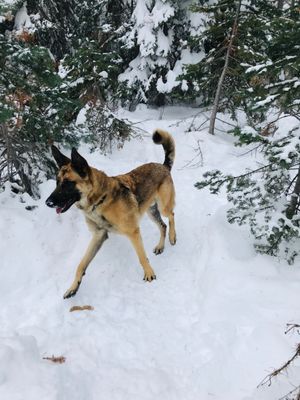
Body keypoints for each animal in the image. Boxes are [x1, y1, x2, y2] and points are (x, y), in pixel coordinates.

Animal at [45, 130, 176, 298]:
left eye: (68, 183)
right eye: (57, 182)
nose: (48, 202)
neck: (99, 201)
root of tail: (162, 166)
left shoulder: (133, 233)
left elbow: (142, 257)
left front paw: (149, 273)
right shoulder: (98, 235)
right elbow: (81, 265)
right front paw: (73, 287)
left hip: (163, 206)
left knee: (171, 216)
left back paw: (173, 237)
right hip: (151, 211)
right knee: (163, 225)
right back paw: (160, 246)